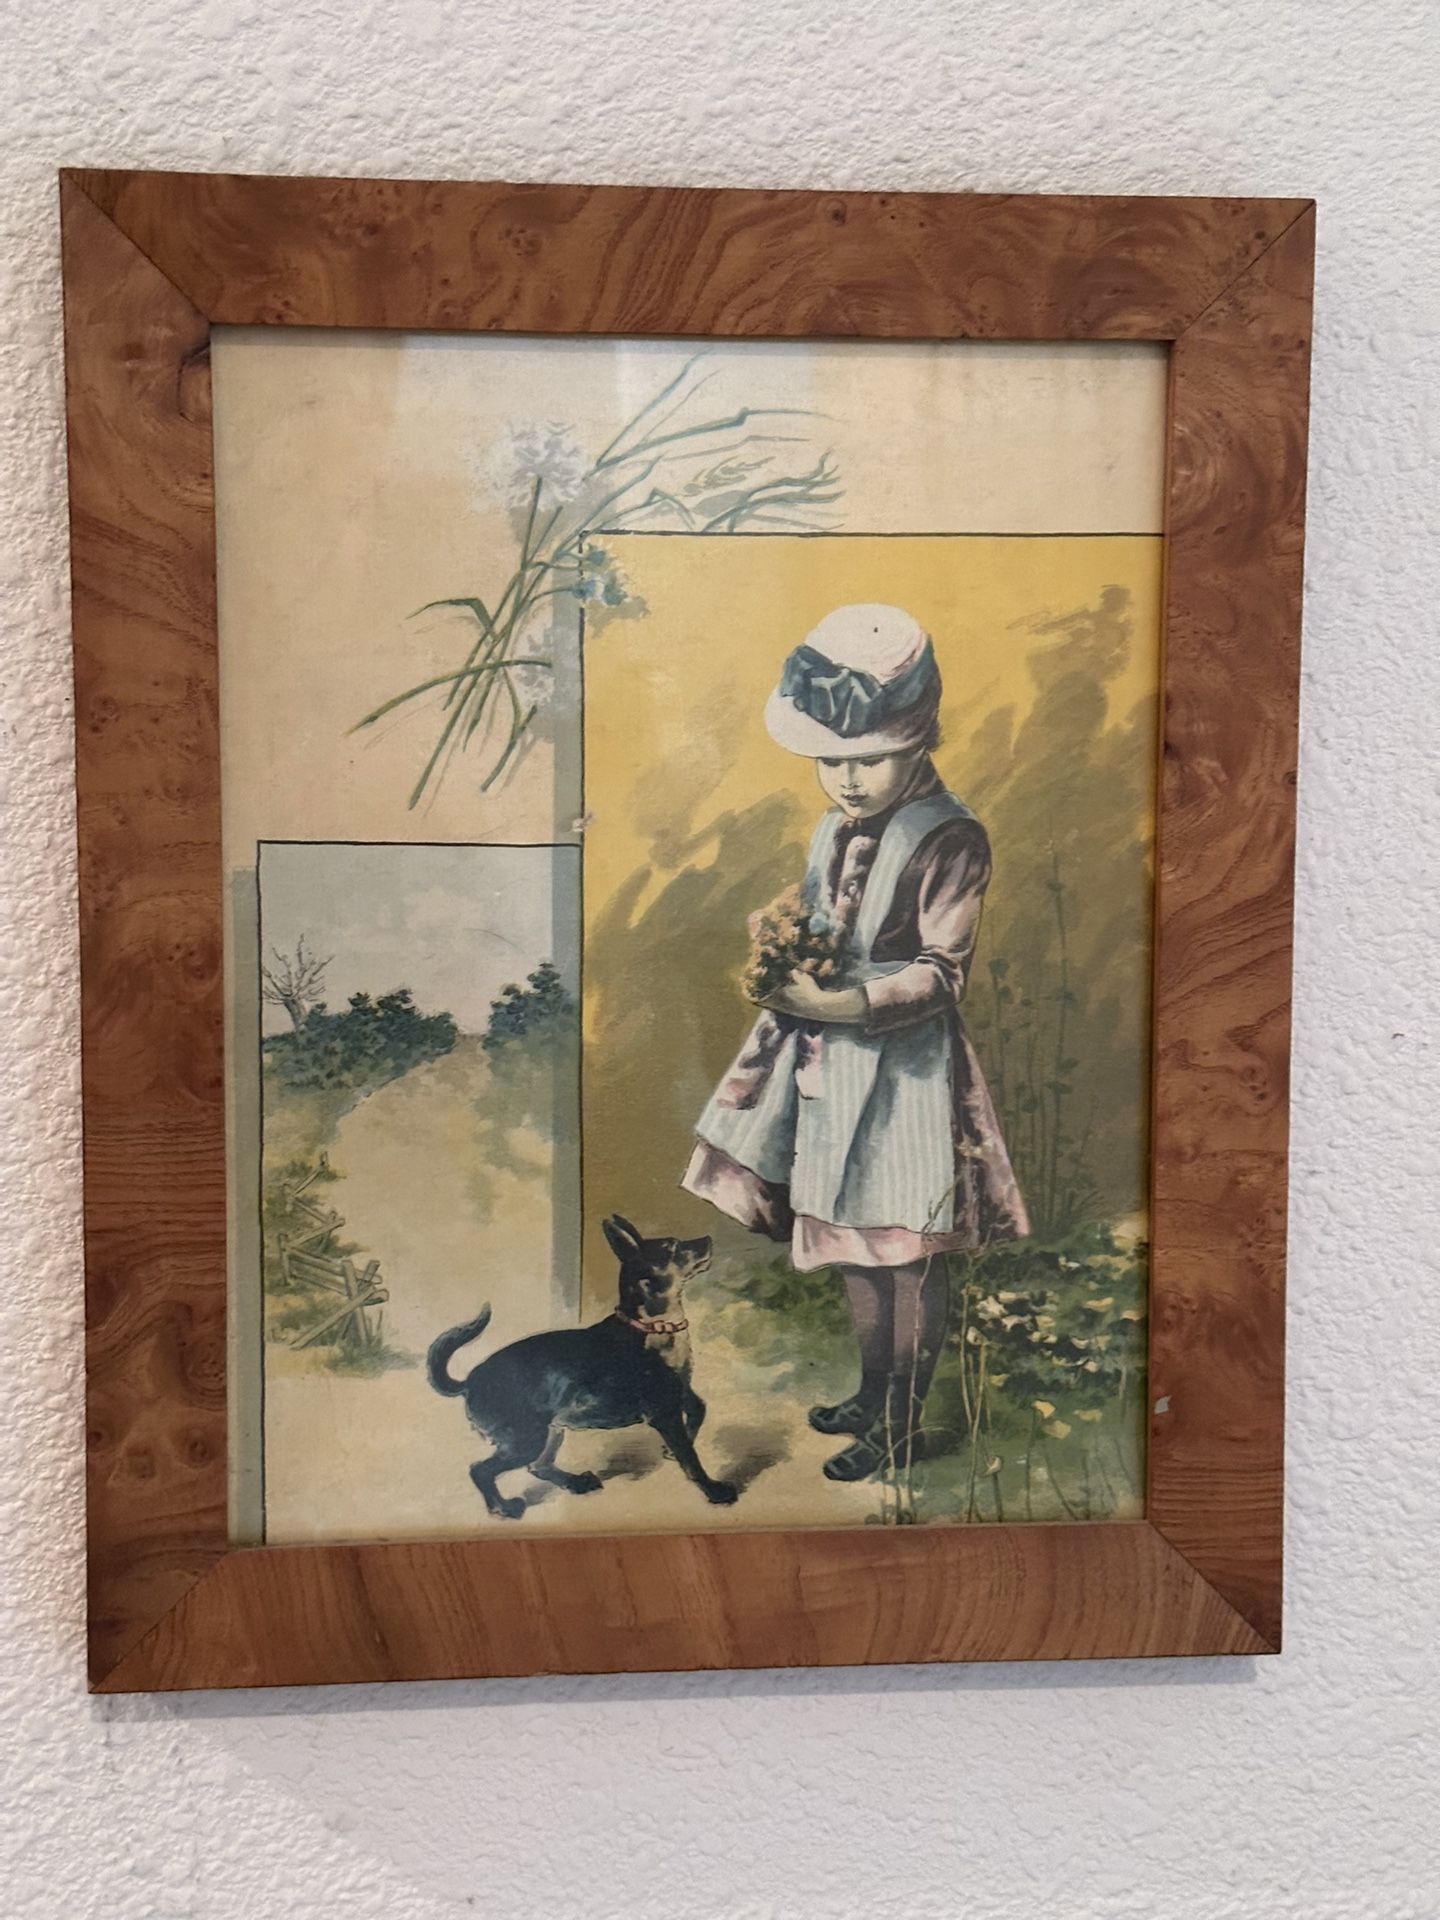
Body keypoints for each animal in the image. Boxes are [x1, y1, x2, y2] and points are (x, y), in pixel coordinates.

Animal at [426, 1214, 739, 1519]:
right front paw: (713, 1490)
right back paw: (503, 1508)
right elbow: (690, 1457)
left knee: (537, 1466)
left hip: (551, 1430)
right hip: (527, 1439)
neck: (655, 1326)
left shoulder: (680, 1391)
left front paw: (672, 1450)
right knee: (482, 1469)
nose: (708, 1239)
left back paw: (575, 1482)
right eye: (672, 1247)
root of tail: (469, 1383)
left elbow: (699, 1408)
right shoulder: (664, 1412)